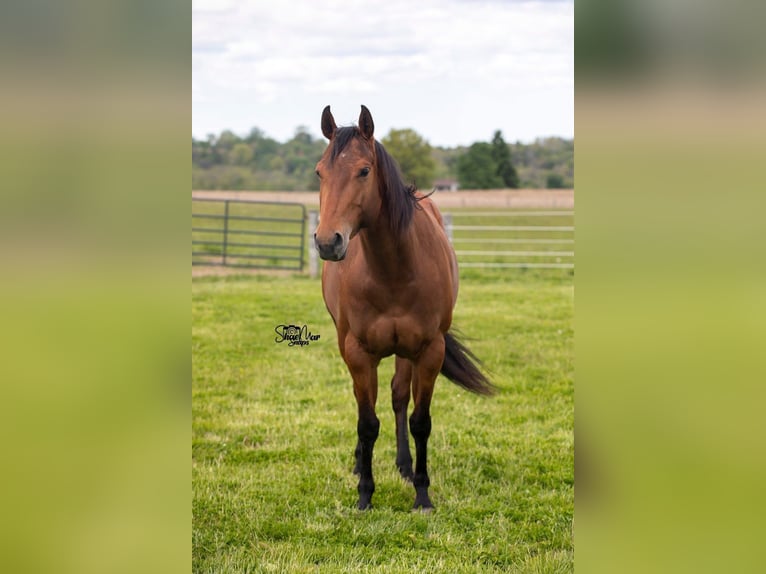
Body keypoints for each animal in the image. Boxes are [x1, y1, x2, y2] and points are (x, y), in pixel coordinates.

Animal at [314, 105, 494, 511]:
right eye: (319, 172)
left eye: (364, 170)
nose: (328, 242)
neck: (394, 271)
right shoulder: (358, 353)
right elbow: (366, 422)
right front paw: (365, 494)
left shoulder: (429, 351)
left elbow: (419, 421)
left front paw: (422, 494)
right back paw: (359, 463)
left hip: (406, 352)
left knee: (398, 397)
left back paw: (405, 465)